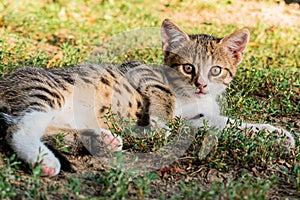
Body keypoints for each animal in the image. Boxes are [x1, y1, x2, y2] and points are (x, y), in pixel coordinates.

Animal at [0, 19, 296, 177]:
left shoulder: (194, 120)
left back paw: (103, 140)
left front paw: (276, 134)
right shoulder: (140, 71)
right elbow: (163, 95)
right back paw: (44, 161)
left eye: (216, 70)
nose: (201, 85)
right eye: (188, 67)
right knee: (19, 128)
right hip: (45, 91)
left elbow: (224, 123)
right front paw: (159, 125)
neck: (192, 97)